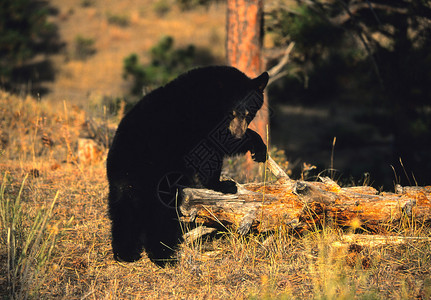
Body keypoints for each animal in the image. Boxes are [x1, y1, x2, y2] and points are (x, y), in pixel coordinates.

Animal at [107, 65, 268, 264]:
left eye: (248, 113)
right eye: (232, 113)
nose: (238, 134)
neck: (215, 96)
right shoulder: (205, 122)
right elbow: (215, 149)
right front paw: (224, 184)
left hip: (123, 184)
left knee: (123, 213)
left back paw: (126, 253)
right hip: (157, 174)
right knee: (160, 214)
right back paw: (164, 256)